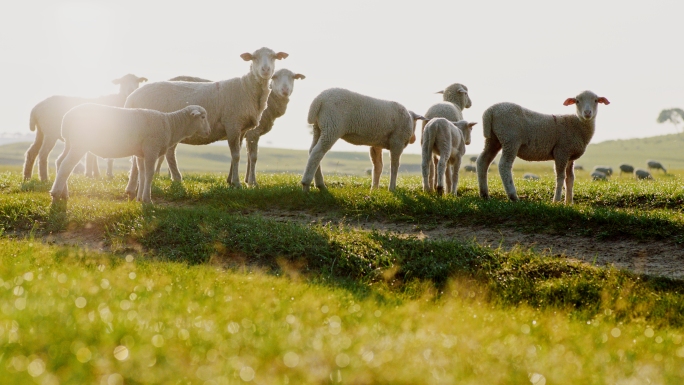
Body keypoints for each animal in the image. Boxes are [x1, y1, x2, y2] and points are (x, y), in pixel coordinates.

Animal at [51, 102, 208, 204]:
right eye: (203, 117)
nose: (208, 132)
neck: (171, 125)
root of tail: (67, 117)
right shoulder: (151, 149)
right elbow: (149, 174)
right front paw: (147, 200)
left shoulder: (141, 154)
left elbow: (142, 174)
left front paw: (139, 198)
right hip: (79, 143)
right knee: (66, 165)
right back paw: (55, 193)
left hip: (69, 142)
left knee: (59, 161)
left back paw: (63, 194)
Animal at [124, 47, 288, 189]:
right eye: (254, 57)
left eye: (274, 57)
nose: (265, 70)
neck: (246, 88)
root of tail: (132, 97)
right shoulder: (232, 124)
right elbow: (236, 155)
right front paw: (237, 183)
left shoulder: (241, 129)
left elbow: (236, 155)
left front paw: (230, 180)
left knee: (155, 155)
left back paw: (140, 186)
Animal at [476, 90, 608, 204]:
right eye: (577, 101)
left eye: (596, 100)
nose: (587, 113)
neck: (577, 124)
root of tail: (490, 111)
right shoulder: (561, 151)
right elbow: (561, 177)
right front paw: (556, 200)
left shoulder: (570, 156)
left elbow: (570, 178)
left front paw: (569, 202)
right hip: (510, 139)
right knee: (504, 165)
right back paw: (513, 196)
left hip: (493, 139)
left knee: (483, 161)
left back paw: (484, 194)